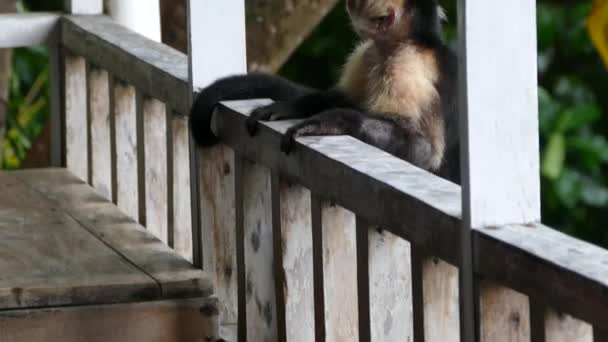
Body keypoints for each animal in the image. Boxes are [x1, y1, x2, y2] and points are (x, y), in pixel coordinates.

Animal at [188, 0, 458, 183]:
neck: (403, 42)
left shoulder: (406, 65)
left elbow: (424, 150)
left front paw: (328, 123)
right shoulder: (367, 55)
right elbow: (340, 97)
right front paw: (289, 107)